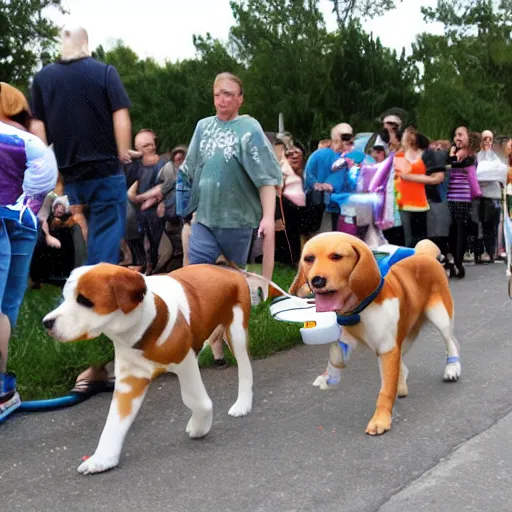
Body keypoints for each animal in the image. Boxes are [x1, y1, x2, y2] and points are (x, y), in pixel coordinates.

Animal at [43, 264, 260, 476]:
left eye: (84, 301)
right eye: (65, 297)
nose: (46, 323)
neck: (147, 322)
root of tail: (229, 271)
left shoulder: (186, 363)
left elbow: (195, 400)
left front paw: (200, 426)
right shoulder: (130, 381)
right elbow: (114, 421)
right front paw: (103, 459)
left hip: (236, 332)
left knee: (245, 368)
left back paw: (242, 405)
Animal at [290, 232, 462, 436]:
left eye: (336, 256)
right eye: (309, 258)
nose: (317, 281)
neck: (359, 309)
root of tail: (423, 255)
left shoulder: (387, 348)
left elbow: (385, 390)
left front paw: (380, 420)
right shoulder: (346, 340)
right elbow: (336, 359)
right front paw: (328, 377)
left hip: (440, 316)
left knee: (451, 342)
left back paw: (452, 369)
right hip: (406, 334)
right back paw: (402, 384)